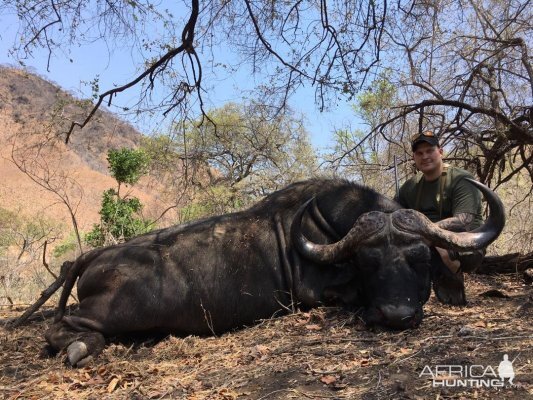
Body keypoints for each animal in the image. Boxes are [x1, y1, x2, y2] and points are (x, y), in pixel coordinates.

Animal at [44, 178, 502, 366]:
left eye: (420, 259)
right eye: (367, 262)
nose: (396, 315)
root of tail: (94, 256)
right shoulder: (318, 295)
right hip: (108, 314)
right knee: (60, 329)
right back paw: (80, 347)